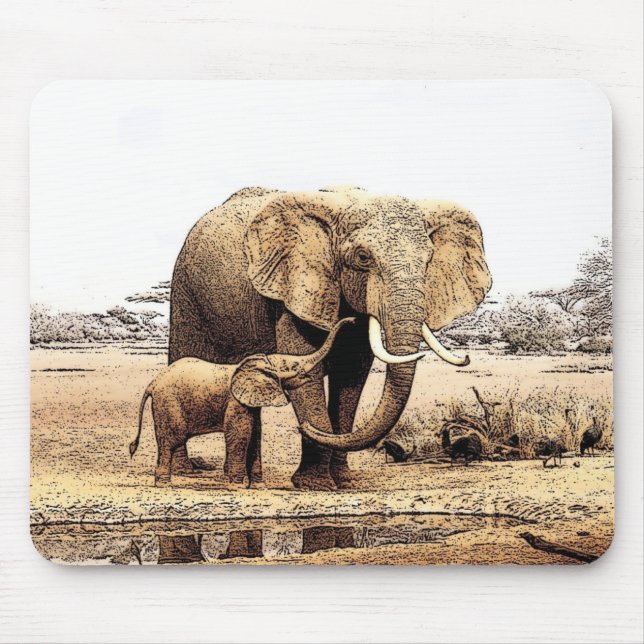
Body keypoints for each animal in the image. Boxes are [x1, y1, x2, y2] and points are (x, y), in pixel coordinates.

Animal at [130, 317, 354, 487]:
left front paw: (258, 486)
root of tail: (152, 383)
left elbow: (255, 436)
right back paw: (164, 484)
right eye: (292, 367)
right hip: (168, 404)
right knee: (170, 441)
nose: (352, 320)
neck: (262, 361)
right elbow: (240, 435)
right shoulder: (236, 402)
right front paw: (237, 486)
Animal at [169, 186, 492, 490]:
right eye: (362, 257)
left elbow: (352, 377)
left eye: (428, 260)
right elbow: (305, 370)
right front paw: (316, 484)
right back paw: (184, 471)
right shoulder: (295, 291)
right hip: (184, 292)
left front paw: (343, 481)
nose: (304, 427)